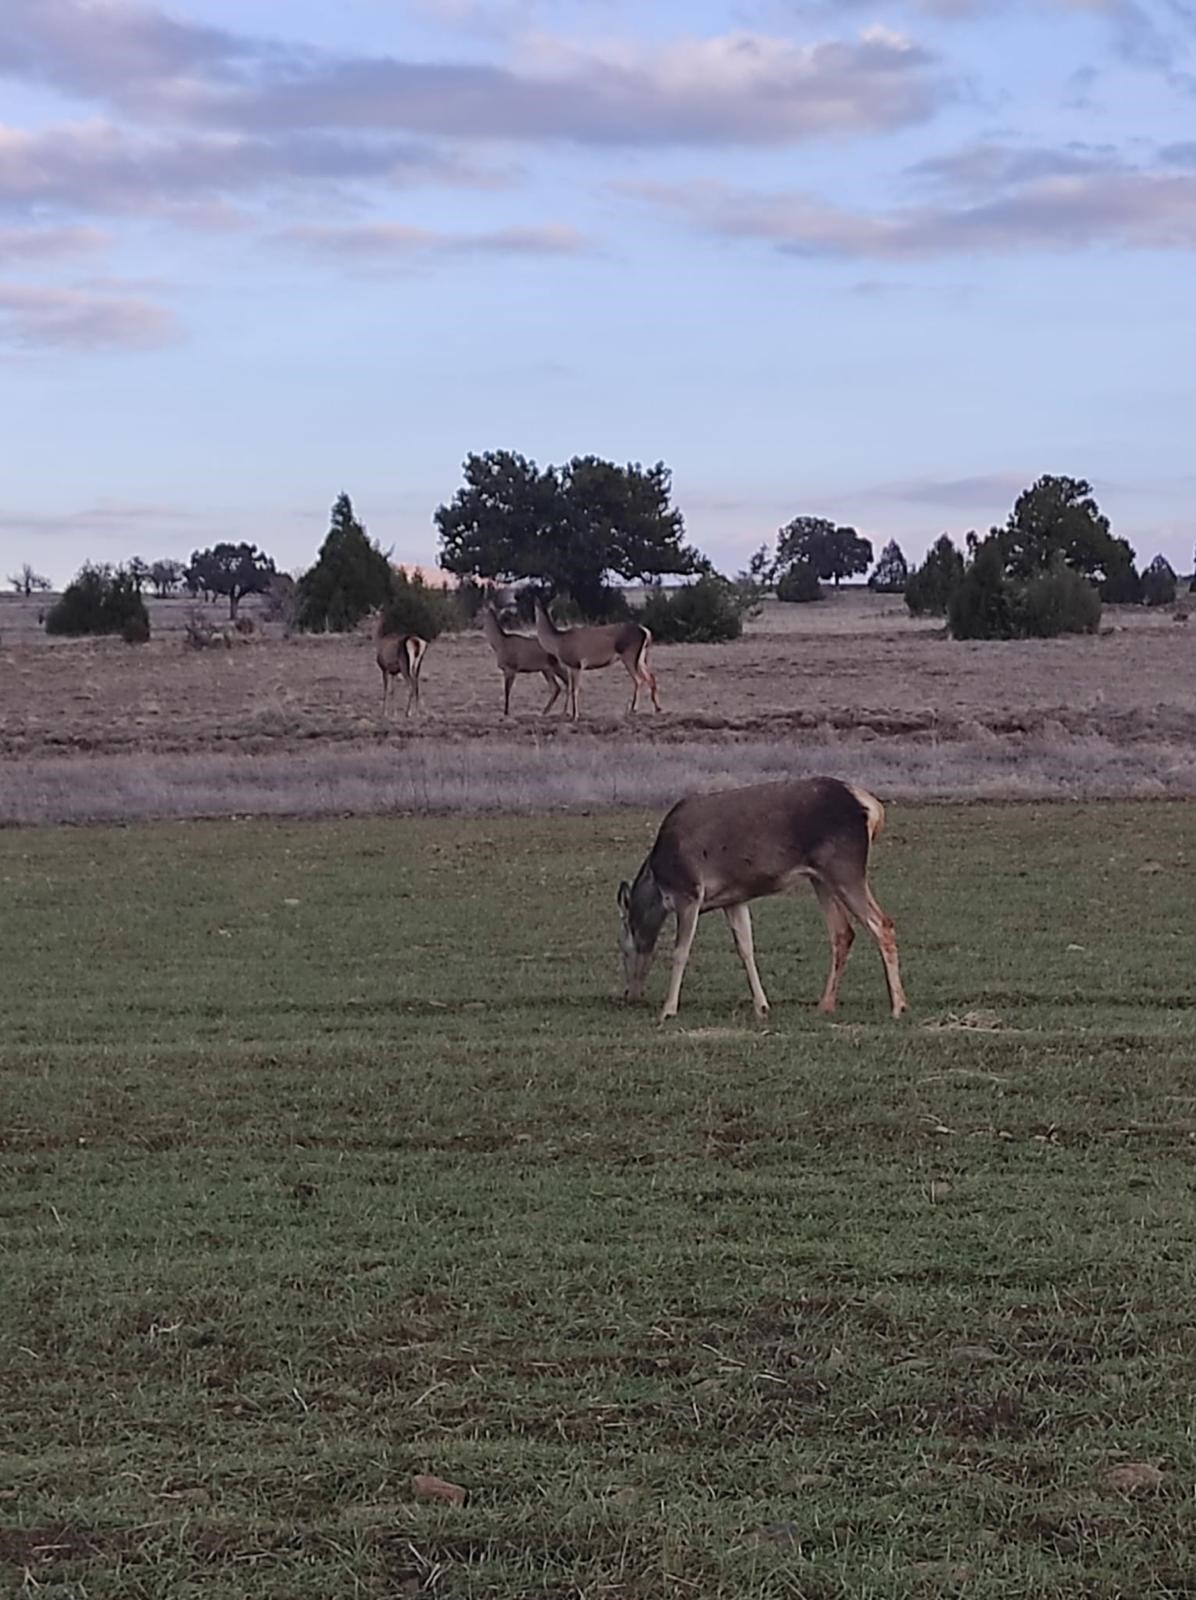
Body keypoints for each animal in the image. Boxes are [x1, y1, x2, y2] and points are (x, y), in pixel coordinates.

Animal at [617, 777, 908, 1024]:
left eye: (623, 948)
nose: (630, 995)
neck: (659, 887)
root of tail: (874, 809)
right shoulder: (733, 898)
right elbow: (746, 948)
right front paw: (762, 1006)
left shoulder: (689, 892)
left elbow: (680, 951)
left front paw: (668, 1010)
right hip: (821, 877)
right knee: (843, 932)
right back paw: (825, 1005)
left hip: (845, 867)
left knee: (881, 923)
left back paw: (898, 1007)